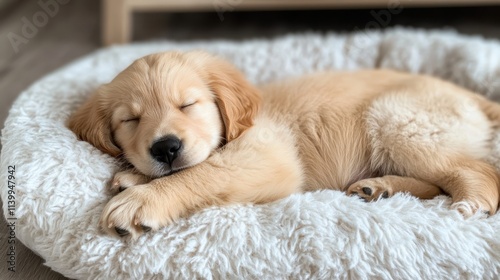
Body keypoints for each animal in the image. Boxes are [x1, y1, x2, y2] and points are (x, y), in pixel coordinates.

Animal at [68, 50, 500, 238]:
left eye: (187, 104)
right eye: (130, 119)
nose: (166, 148)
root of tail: (471, 96)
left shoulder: (267, 154)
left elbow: (203, 172)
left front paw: (141, 199)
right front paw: (133, 178)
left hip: (399, 120)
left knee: (479, 172)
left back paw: (468, 206)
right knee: (435, 182)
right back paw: (379, 189)